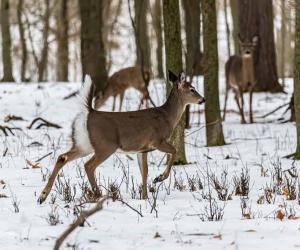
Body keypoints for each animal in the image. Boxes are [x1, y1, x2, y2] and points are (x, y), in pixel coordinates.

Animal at [37, 70, 205, 203]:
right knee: (88, 165)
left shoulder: (142, 149)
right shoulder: (157, 140)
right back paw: (98, 195)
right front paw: (159, 178)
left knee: (62, 157)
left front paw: (144, 197)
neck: (166, 117)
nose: (203, 99)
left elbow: (144, 172)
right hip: (106, 145)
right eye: (192, 89)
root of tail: (89, 112)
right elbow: (175, 151)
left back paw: (42, 196)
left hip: (83, 143)